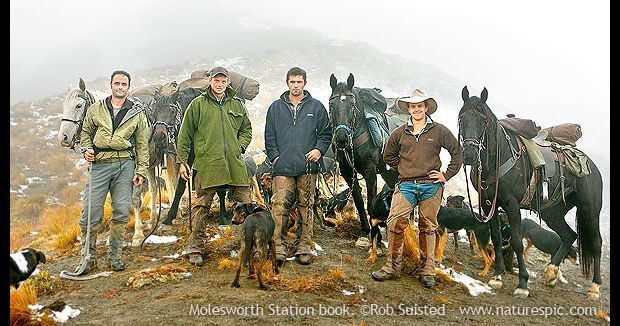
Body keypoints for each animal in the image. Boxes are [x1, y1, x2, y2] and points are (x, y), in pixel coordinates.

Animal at [326, 74, 400, 247]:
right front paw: (365, 230)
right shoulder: (347, 171)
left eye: (352, 105)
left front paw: (376, 237)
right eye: (331, 105)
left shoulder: (370, 170)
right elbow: (359, 200)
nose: (341, 139)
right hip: (389, 173)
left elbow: (370, 201)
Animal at [458, 86, 604, 300]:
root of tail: (594, 168)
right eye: (461, 118)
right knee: (569, 235)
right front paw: (498, 276)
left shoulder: (512, 205)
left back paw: (594, 288)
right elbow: (497, 238)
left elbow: (517, 242)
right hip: (553, 212)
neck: (499, 157)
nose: (469, 155)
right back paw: (551, 273)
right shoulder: (488, 204)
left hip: (590, 210)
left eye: (483, 121)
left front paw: (522, 284)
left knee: (596, 243)